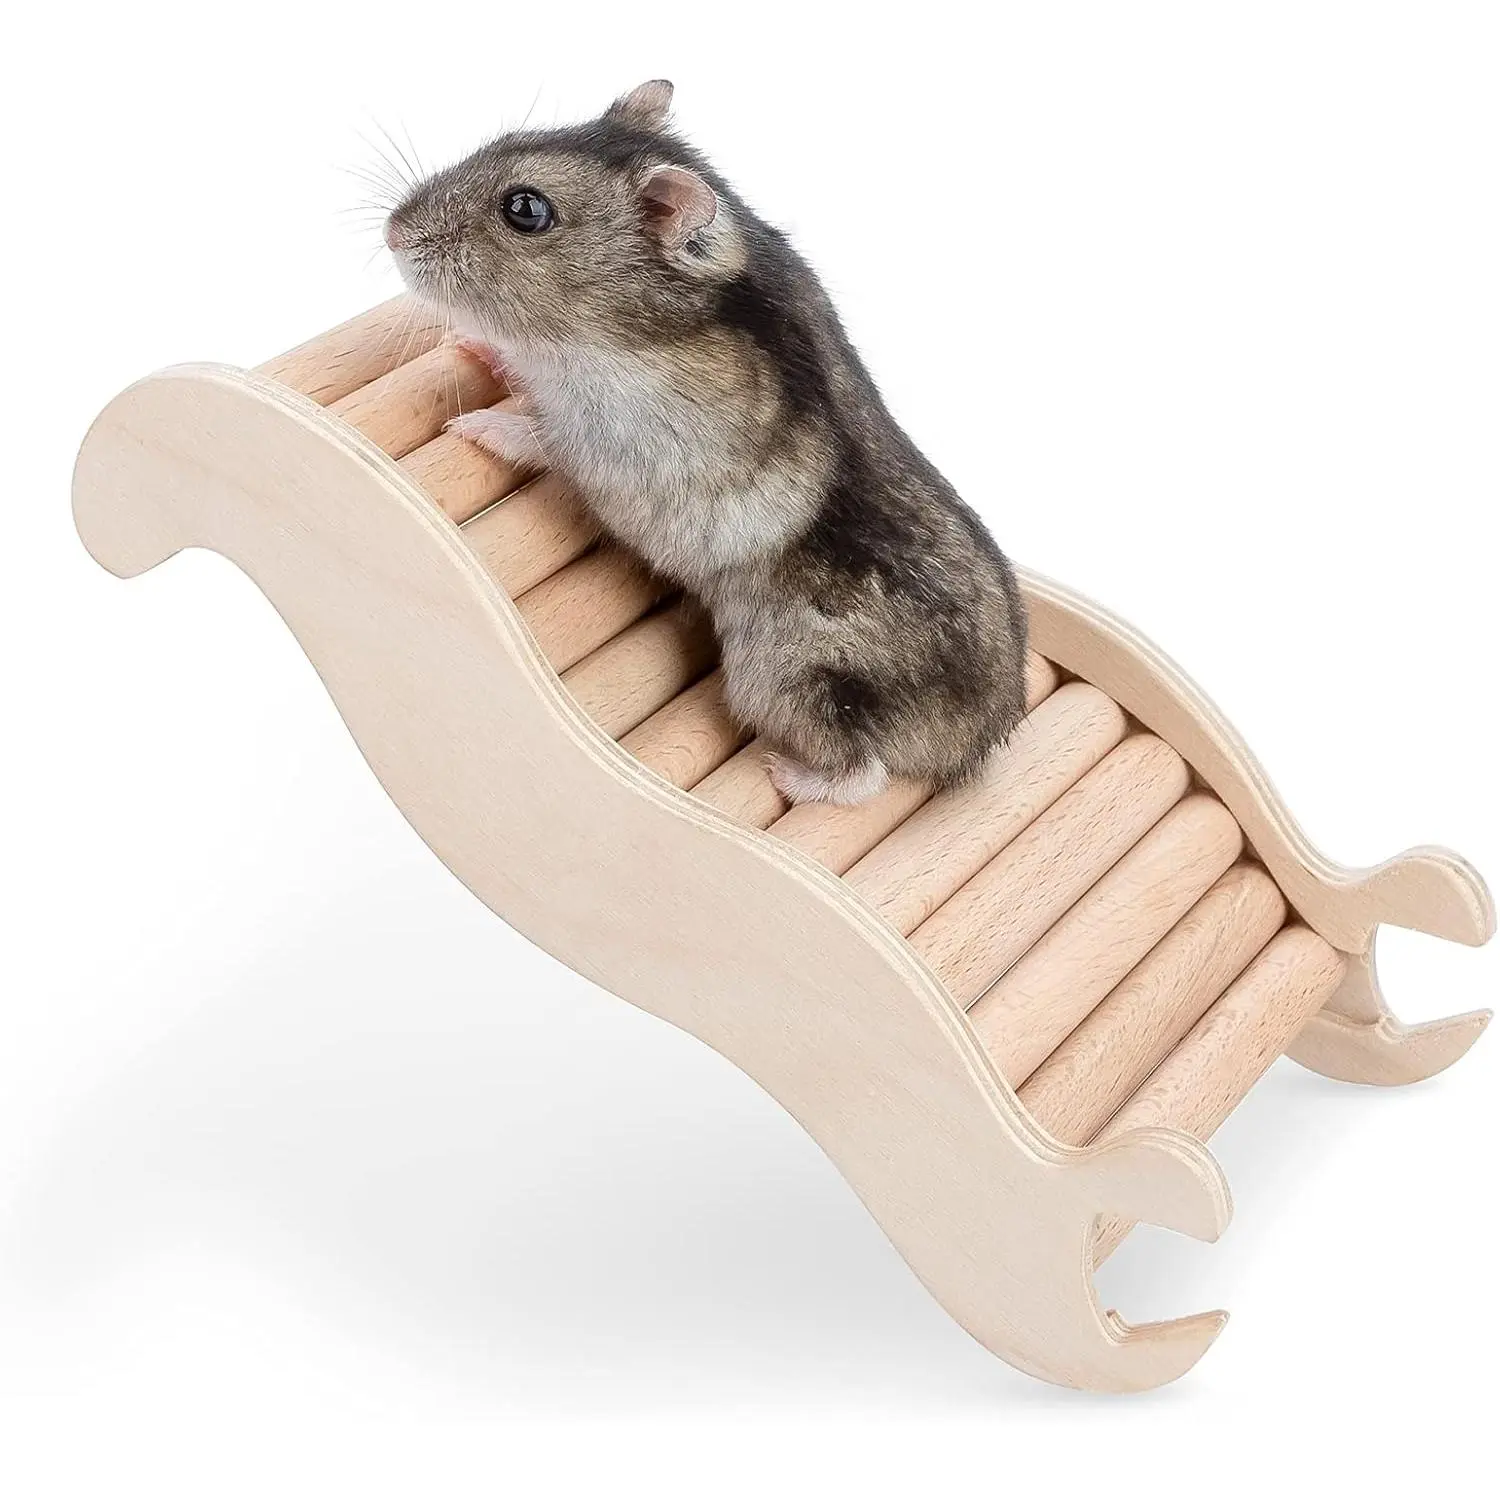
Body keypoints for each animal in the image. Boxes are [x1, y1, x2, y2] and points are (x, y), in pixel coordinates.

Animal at [384, 79, 1029, 805]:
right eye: (499, 141)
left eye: (525, 209)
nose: (391, 230)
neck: (613, 332)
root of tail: (978, 745)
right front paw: (473, 347)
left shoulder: (620, 446)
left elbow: (546, 439)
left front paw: (470, 425)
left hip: (786, 676)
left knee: (864, 775)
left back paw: (786, 774)